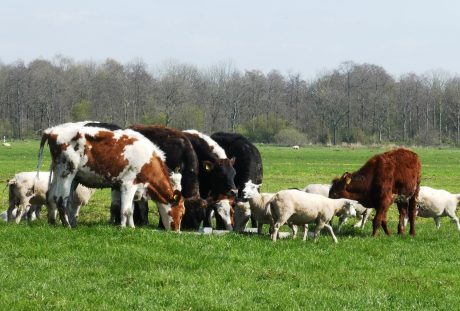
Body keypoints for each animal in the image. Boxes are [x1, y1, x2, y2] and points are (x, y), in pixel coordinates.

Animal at [37, 123, 185, 230]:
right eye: (181, 212)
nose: (177, 231)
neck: (147, 159)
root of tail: (52, 131)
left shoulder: (130, 186)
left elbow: (130, 209)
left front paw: (131, 226)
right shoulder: (128, 184)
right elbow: (125, 210)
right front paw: (124, 228)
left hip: (60, 173)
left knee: (53, 197)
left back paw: (56, 222)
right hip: (67, 172)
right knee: (61, 199)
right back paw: (67, 225)